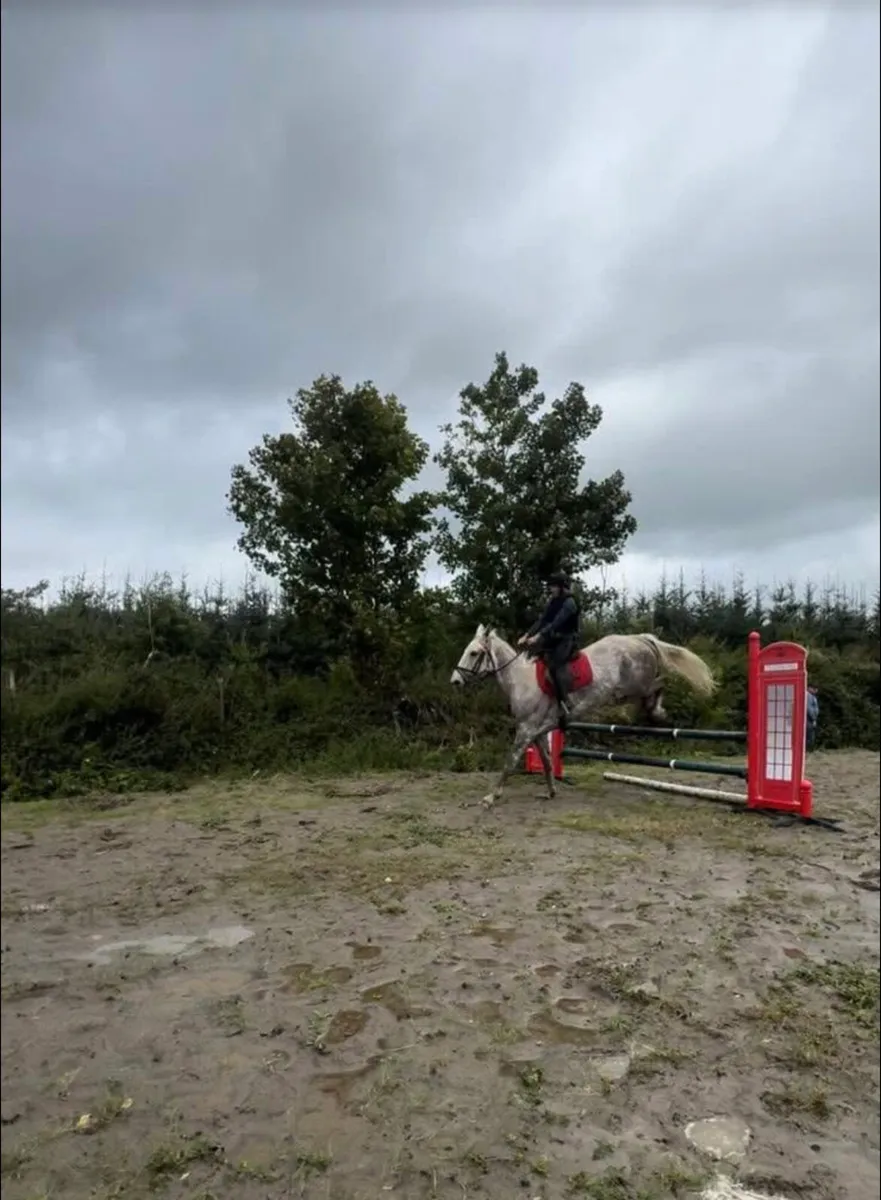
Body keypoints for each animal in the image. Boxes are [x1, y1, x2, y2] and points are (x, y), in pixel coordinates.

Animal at [451, 625, 716, 808]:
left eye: (474, 653)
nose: (455, 681)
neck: (522, 681)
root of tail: (642, 638)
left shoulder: (526, 729)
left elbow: (510, 761)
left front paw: (490, 797)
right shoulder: (536, 732)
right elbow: (546, 762)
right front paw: (551, 792)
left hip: (637, 683)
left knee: (662, 682)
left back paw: (656, 712)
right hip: (628, 689)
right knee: (656, 687)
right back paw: (649, 712)